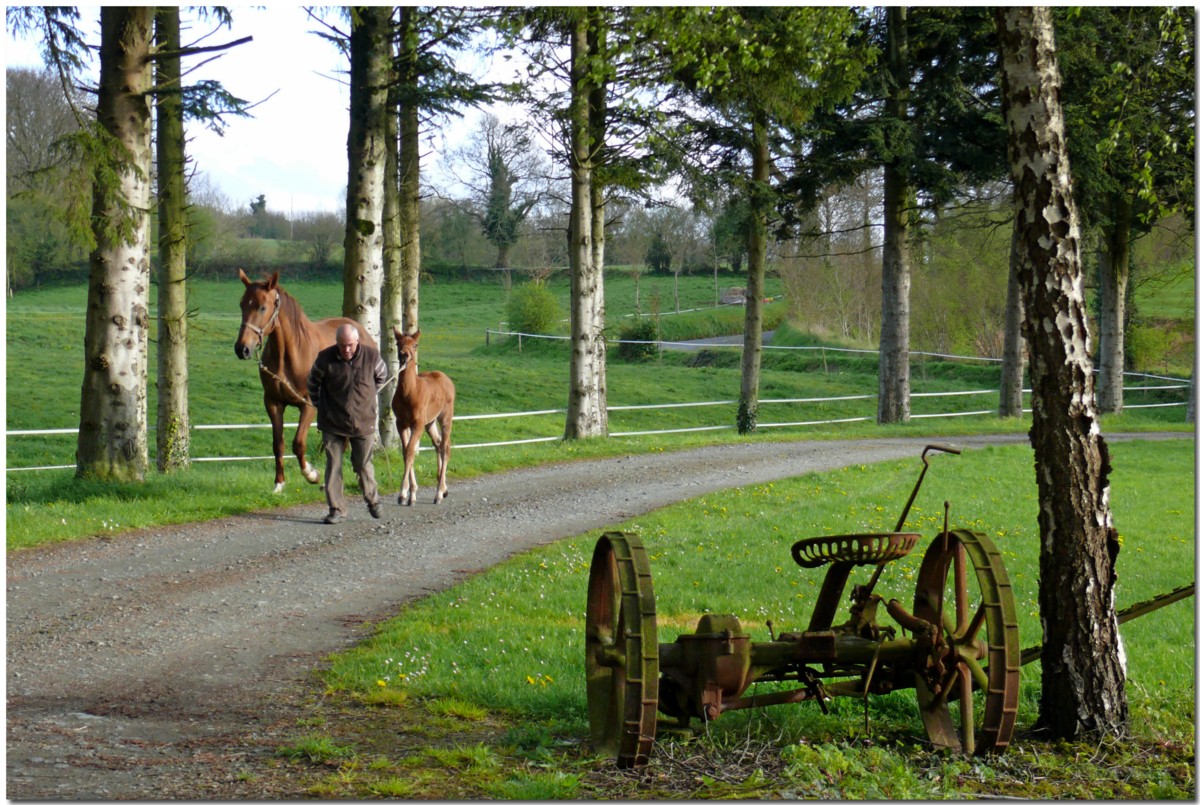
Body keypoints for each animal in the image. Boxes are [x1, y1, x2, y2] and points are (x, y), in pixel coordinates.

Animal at [234, 268, 374, 491]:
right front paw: (279, 484)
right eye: (242, 304)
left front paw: (312, 474)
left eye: (262, 307)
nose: (242, 349)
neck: (290, 355)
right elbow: (278, 444)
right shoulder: (273, 403)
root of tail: (360, 331)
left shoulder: (308, 405)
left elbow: (298, 443)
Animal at [393, 326, 453, 503]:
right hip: (430, 422)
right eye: (398, 343)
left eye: (415, 345)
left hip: (445, 418)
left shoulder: (417, 424)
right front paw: (411, 492)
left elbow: (410, 452)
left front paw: (404, 493)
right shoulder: (401, 423)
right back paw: (443, 489)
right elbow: (406, 452)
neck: (409, 393)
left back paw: (439, 493)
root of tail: (447, 380)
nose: (404, 355)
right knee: (438, 443)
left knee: (445, 447)